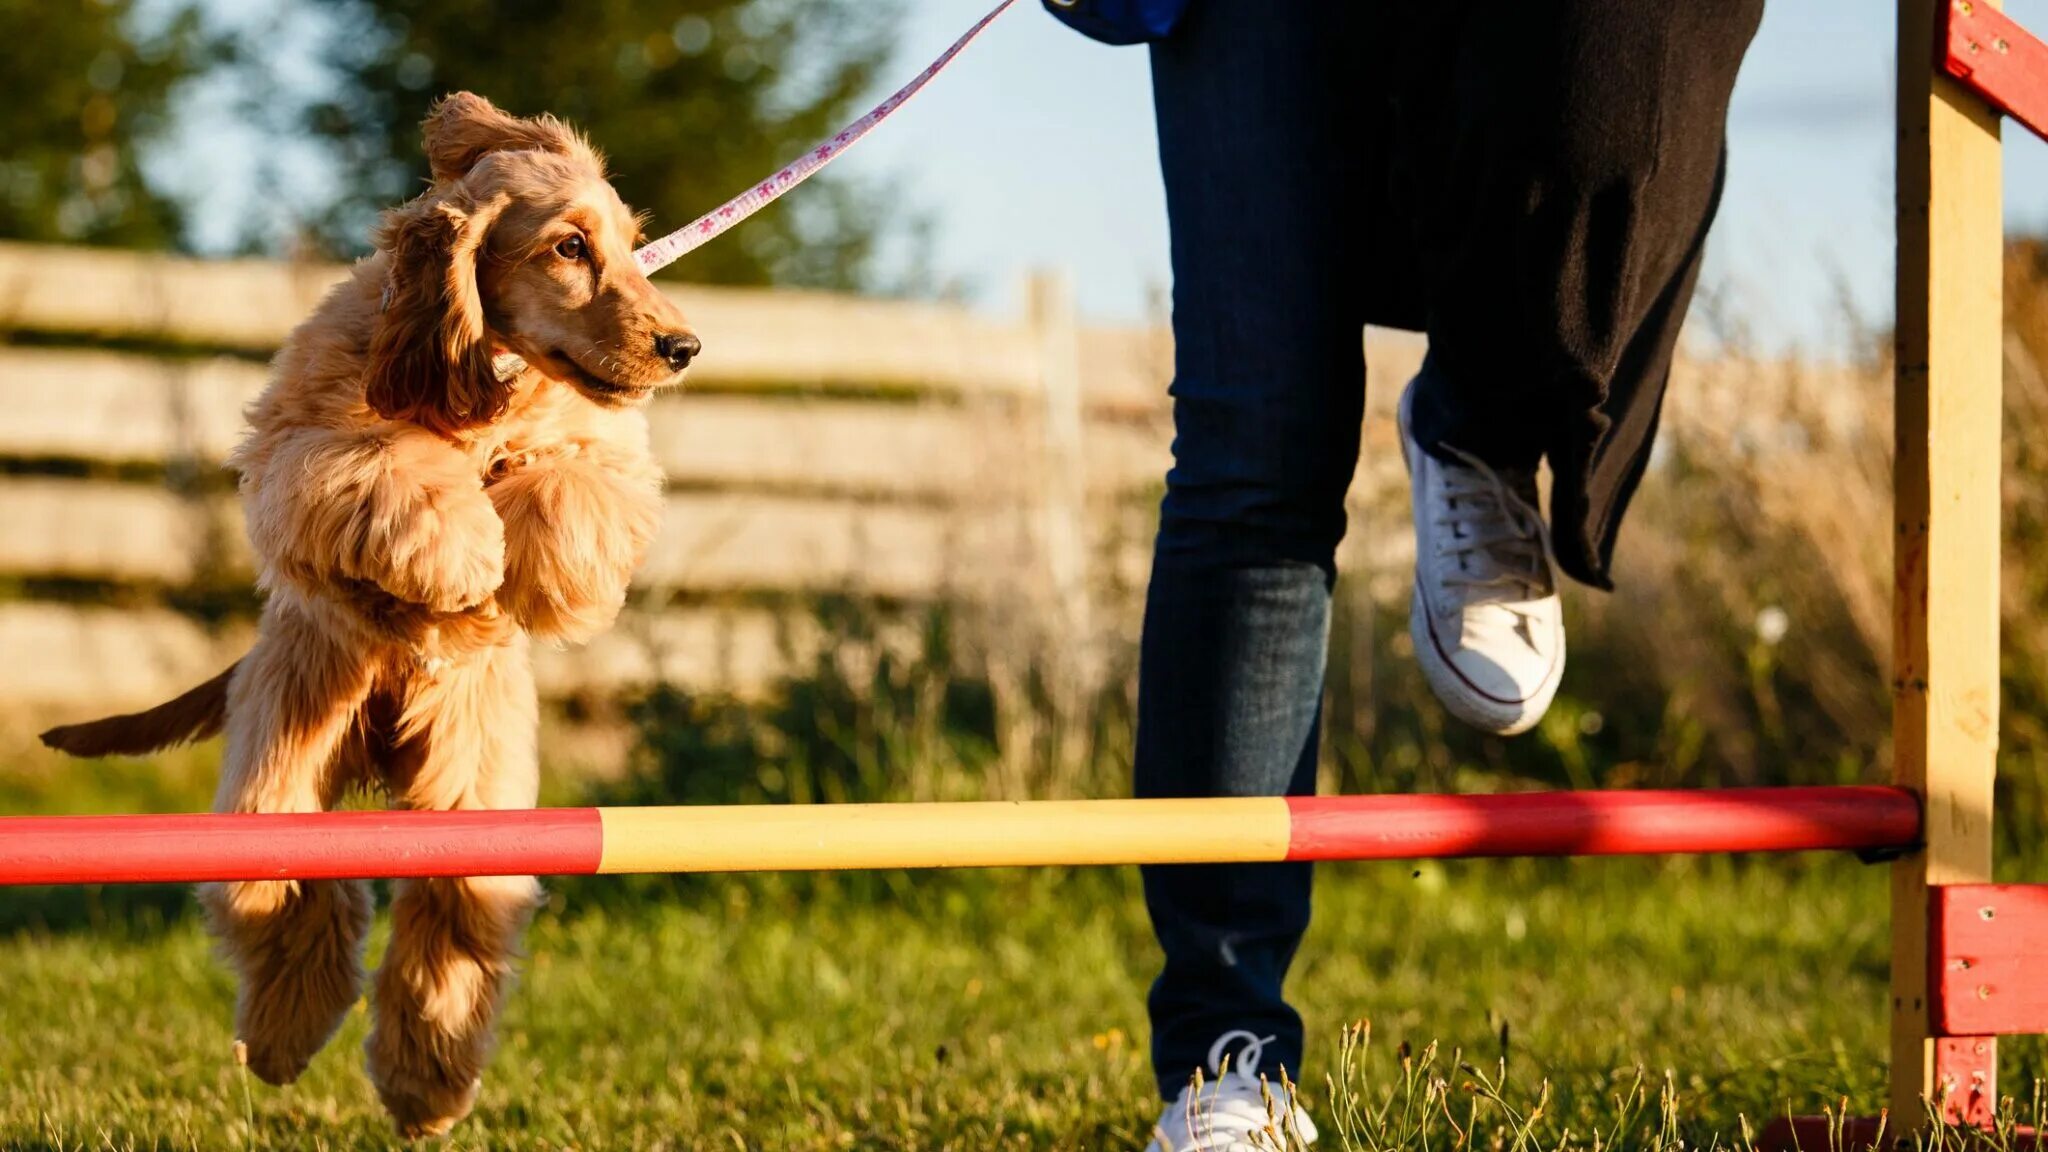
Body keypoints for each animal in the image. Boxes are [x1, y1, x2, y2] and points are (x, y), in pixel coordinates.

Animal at [36, 94, 696, 1131]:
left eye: (633, 244)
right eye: (568, 246)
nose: (683, 348)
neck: (481, 372)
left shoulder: (606, 457)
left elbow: (575, 486)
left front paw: (521, 563)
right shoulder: (303, 447)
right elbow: (390, 468)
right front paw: (463, 549)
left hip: (479, 804)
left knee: (450, 915)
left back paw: (427, 1083)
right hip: (281, 776)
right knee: (301, 898)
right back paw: (283, 1042)